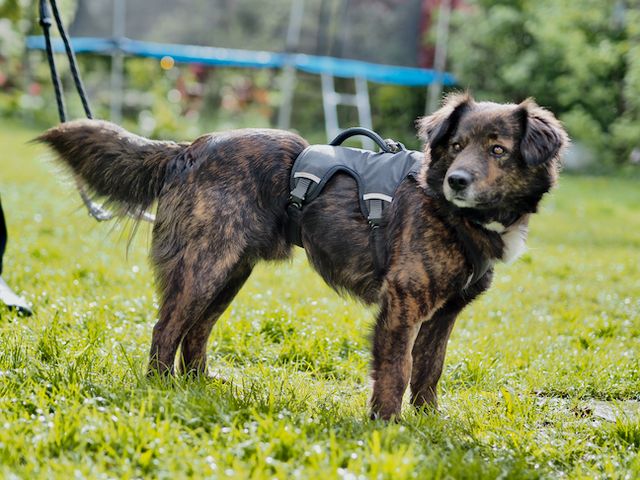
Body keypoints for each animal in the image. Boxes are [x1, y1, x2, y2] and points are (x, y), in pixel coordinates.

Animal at [37, 94, 568, 420]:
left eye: (497, 150)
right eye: (456, 146)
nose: (458, 180)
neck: (451, 211)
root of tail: (190, 148)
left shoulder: (444, 314)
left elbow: (429, 370)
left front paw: (427, 421)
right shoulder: (402, 304)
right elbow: (396, 369)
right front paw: (388, 425)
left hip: (230, 272)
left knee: (197, 331)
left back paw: (198, 385)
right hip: (205, 266)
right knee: (166, 328)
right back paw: (160, 389)